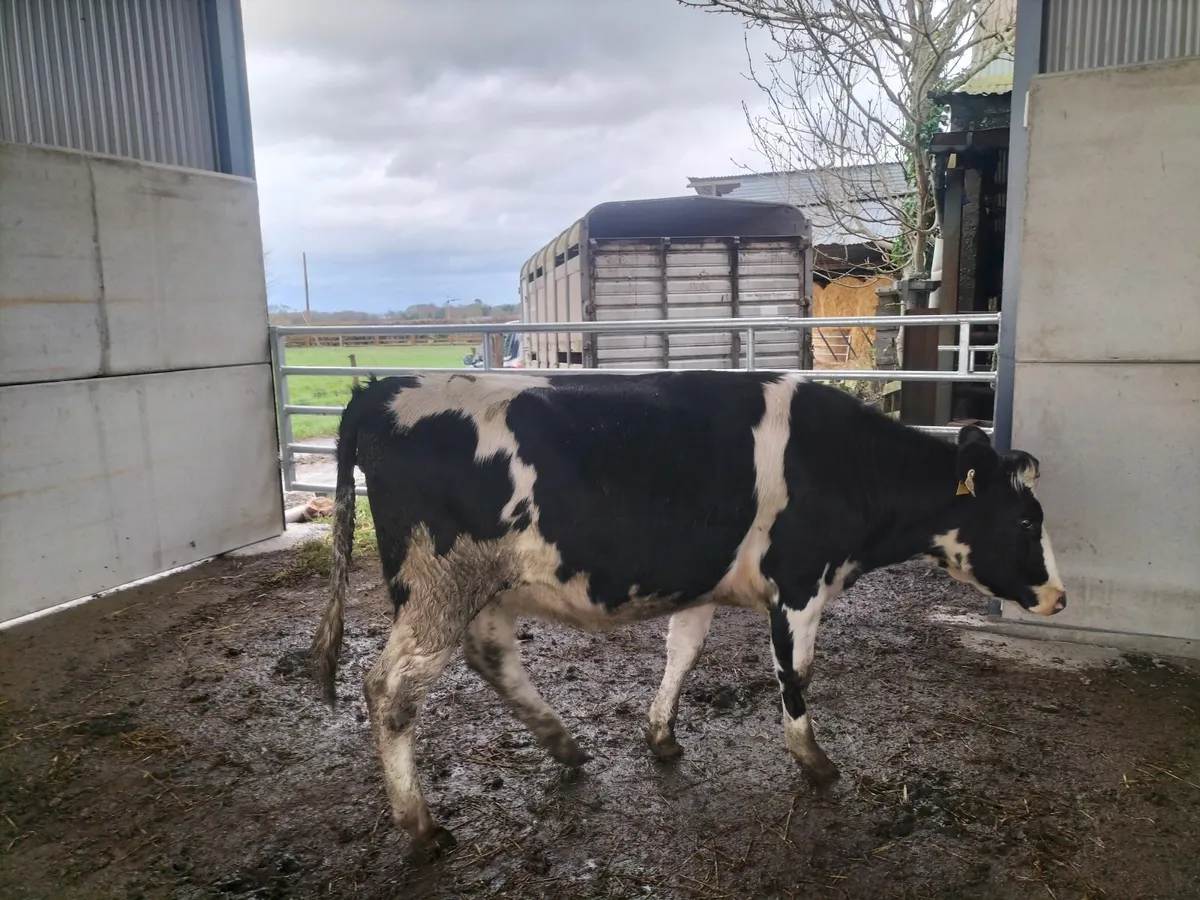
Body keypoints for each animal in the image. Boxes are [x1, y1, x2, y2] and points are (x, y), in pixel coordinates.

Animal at [309, 371, 1065, 859]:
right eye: (1027, 521)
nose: (1060, 597)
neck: (849, 464)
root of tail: (382, 388)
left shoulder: (705, 586)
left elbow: (684, 652)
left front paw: (661, 735)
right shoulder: (802, 582)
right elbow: (797, 674)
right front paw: (814, 762)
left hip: (480, 586)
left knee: (491, 657)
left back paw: (564, 744)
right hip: (437, 585)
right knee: (391, 689)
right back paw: (421, 825)